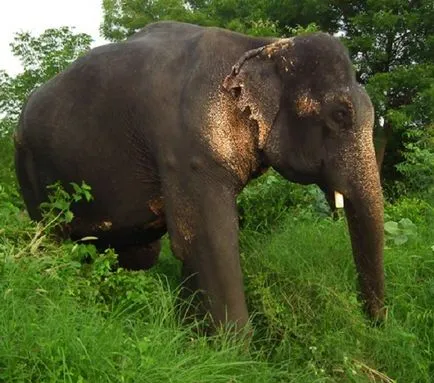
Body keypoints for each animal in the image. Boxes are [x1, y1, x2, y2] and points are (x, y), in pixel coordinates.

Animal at [15, 21, 384, 328]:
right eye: (340, 115)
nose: (374, 325)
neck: (260, 46)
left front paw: (194, 339)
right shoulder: (187, 148)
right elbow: (206, 243)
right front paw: (234, 358)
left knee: (133, 253)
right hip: (29, 172)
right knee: (54, 239)